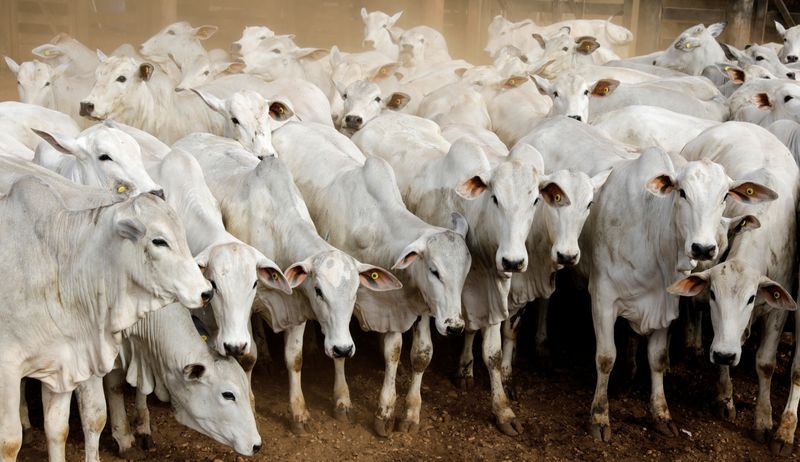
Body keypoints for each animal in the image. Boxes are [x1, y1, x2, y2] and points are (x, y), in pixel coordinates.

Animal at [0, 175, 211, 460]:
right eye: (159, 241)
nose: (206, 291)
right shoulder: (7, 369)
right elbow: (10, 442)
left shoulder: (63, 363)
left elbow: (57, 429)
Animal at [174, 134, 400, 434]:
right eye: (319, 291)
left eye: (355, 293)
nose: (343, 348)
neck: (276, 228)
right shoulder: (247, 309)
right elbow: (247, 357)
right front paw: (251, 404)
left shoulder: (296, 308)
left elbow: (294, 359)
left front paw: (301, 412)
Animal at [276, 120, 476, 436]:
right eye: (434, 271)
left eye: (466, 271)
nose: (454, 326)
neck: (379, 229)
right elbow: (351, 352)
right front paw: (351, 403)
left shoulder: (412, 306)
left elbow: (416, 354)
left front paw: (405, 413)